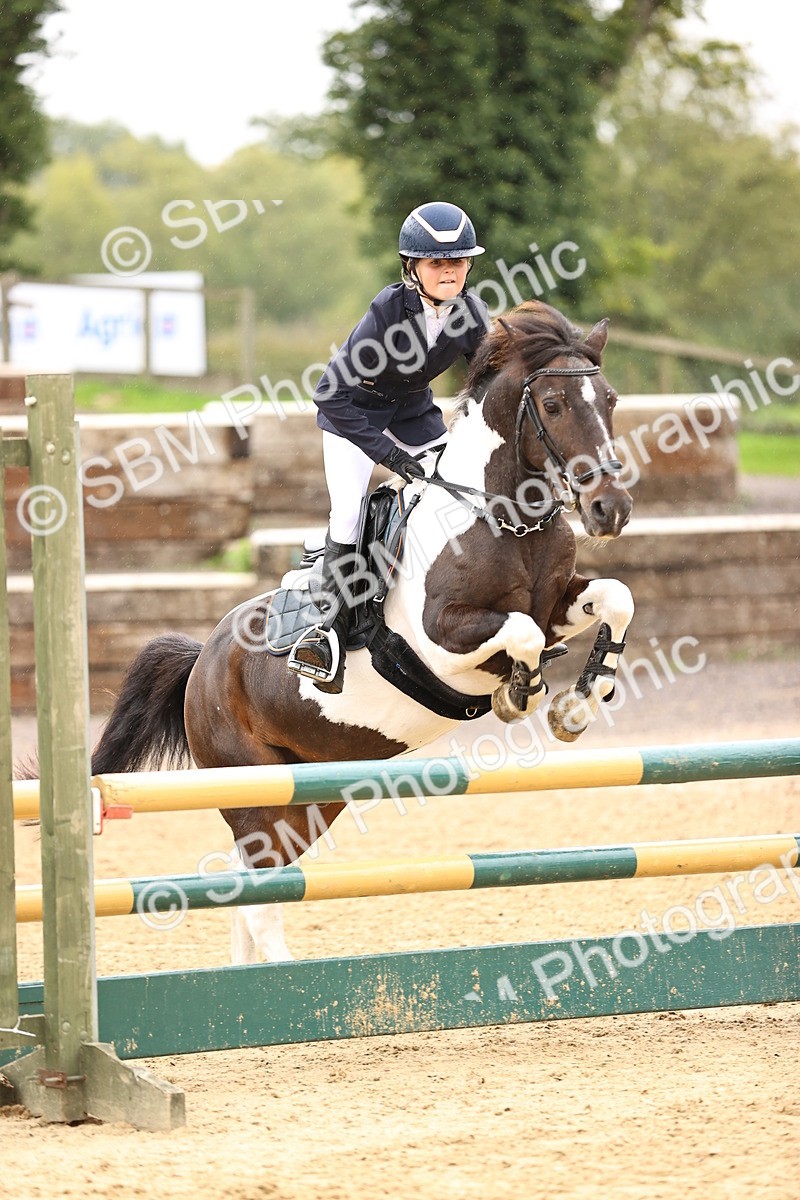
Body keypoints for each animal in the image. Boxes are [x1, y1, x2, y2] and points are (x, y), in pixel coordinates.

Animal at [89, 300, 634, 962]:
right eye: (553, 406)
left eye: (609, 399)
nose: (611, 509)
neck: (502, 517)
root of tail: (203, 662)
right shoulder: (441, 639)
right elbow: (523, 634)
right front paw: (519, 694)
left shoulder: (560, 600)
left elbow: (615, 599)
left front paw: (578, 703)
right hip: (257, 797)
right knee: (262, 900)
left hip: (312, 795)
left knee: (251, 892)